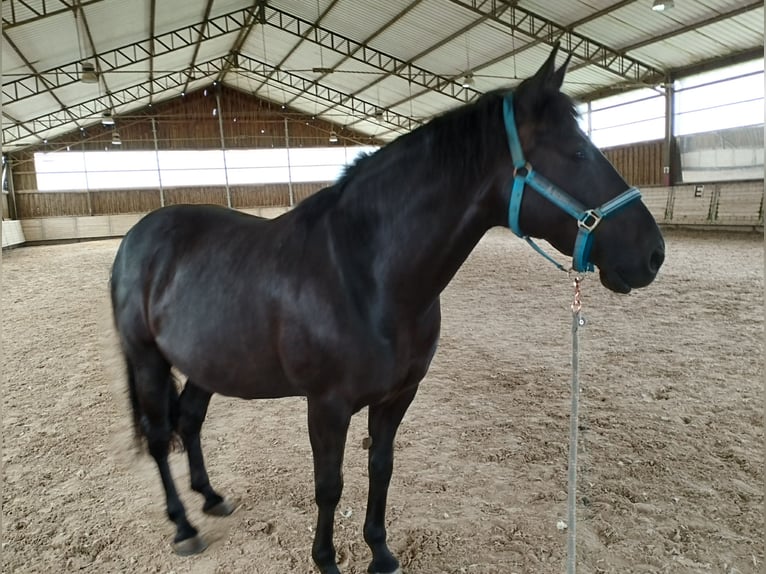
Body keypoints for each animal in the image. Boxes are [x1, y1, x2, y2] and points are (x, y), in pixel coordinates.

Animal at [111, 46, 668, 574]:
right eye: (576, 152)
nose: (653, 253)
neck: (364, 275)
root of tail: (138, 237)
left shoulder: (399, 396)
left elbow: (381, 467)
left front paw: (379, 552)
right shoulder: (327, 405)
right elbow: (329, 483)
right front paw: (326, 559)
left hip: (207, 362)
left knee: (190, 422)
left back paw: (211, 497)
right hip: (147, 359)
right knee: (160, 437)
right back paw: (184, 526)